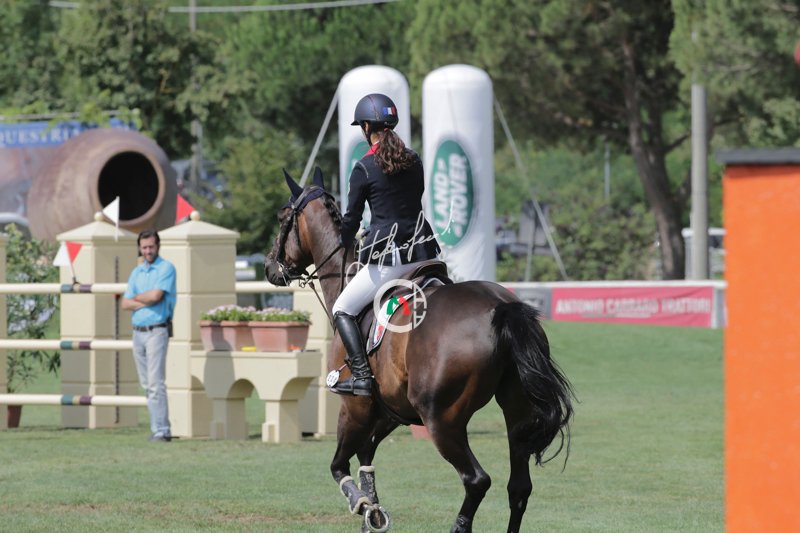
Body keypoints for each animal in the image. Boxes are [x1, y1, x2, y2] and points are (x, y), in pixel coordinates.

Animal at [264, 168, 574, 533]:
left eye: (282, 217)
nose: (270, 267)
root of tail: (501, 308)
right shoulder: (390, 412)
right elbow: (366, 459)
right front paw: (373, 514)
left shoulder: (355, 408)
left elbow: (339, 466)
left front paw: (362, 505)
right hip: (516, 413)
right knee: (519, 488)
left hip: (441, 419)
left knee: (477, 480)